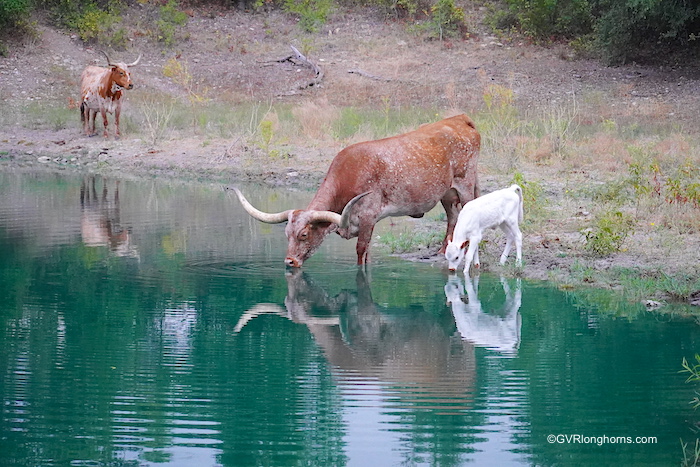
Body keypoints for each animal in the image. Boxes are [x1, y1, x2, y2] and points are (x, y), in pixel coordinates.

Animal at [232, 112, 478, 266]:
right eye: (286, 234)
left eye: (304, 234)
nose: (289, 262)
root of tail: (461, 119)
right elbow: (367, 252)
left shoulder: (368, 216)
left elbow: (361, 252)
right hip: (446, 192)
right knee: (452, 216)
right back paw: (442, 250)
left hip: (465, 184)